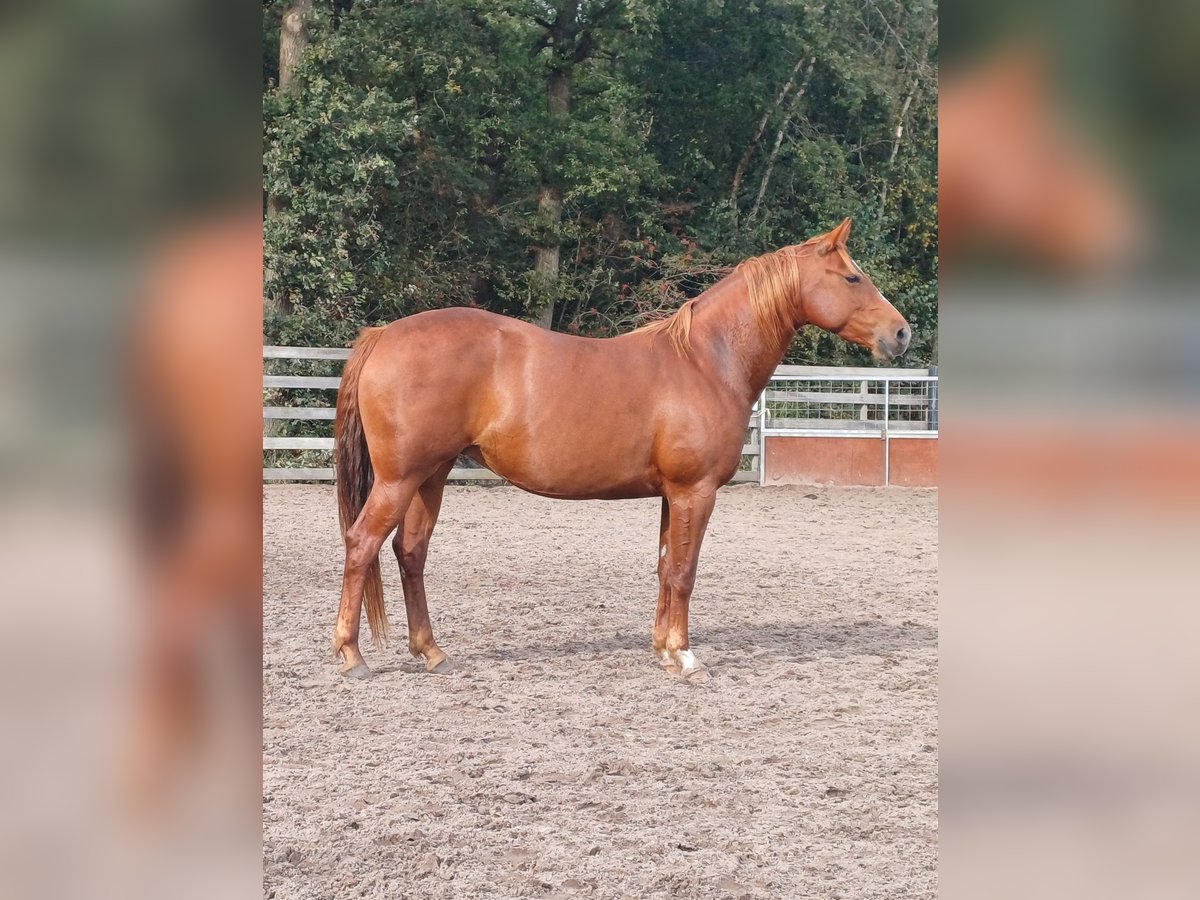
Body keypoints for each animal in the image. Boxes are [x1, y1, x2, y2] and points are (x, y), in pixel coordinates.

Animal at [328, 220, 907, 681]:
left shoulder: (672, 495)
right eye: (852, 277)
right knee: (361, 545)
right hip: (400, 479)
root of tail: (384, 335)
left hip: (431, 475)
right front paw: (686, 657)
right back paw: (352, 656)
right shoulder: (695, 492)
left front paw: (663, 651)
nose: (902, 333)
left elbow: (666, 566)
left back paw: (431, 652)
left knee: (410, 553)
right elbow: (685, 571)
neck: (705, 361)